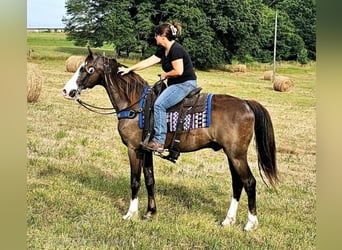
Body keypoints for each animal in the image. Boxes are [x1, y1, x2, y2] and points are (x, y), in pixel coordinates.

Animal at [62, 47, 278, 231]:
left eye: (87, 69)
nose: (66, 90)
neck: (135, 105)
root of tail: (246, 104)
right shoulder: (146, 149)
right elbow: (149, 179)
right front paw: (150, 212)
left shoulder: (134, 149)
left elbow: (135, 181)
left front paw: (130, 214)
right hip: (231, 155)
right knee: (237, 183)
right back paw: (228, 220)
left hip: (236, 154)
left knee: (249, 182)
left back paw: (250, 223)